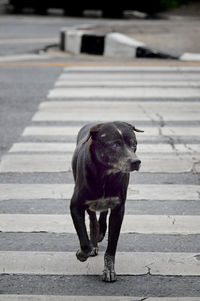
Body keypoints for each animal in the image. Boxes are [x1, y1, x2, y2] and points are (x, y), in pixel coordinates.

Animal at [69, 120, 143, 280]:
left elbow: (112, 245)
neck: (105, 175)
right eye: (115, 145)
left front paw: (109, 269)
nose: (136, 161)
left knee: (102, 213)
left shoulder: (118, 209)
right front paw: (83, 252)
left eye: (134, 144)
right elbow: (84, 241)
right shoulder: (75, 206)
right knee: (92, 217)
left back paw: (100, 232)